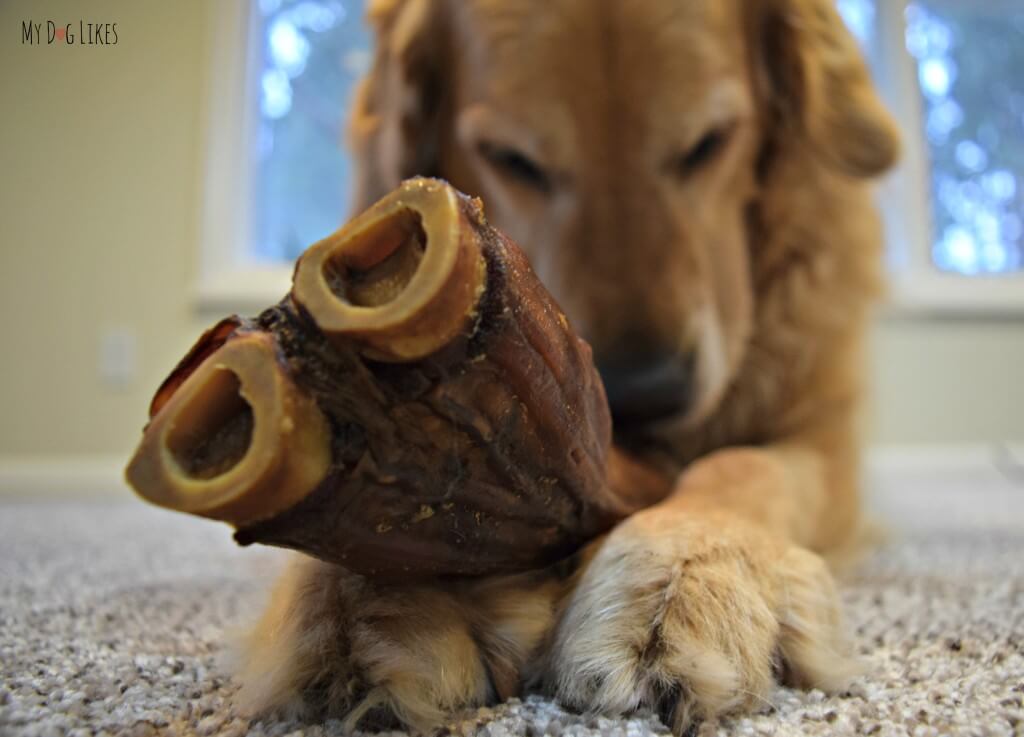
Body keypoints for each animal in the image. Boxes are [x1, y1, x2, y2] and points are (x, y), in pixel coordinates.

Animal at [230, 0, 897, 732]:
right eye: (513, 161)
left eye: (709, 143)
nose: (643, 392)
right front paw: (366, 599)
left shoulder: (823, 432)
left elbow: (742, 466)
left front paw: (680, 565)